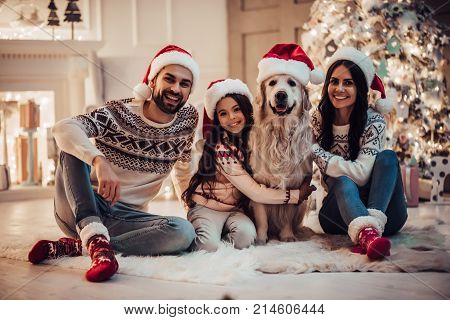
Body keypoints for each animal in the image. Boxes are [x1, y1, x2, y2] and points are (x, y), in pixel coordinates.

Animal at [250, 74, 312, 242]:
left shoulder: (294, 184)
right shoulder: (260, 183)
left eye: (292, 83)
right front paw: (261, 239)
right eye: (272, 83)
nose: (281, 95)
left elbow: (287, 216)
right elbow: (262, 219)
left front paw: (287, 236)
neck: (281, 133)